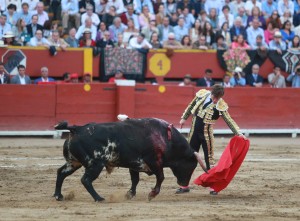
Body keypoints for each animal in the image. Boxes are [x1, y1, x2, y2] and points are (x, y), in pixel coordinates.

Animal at [53, 118, 206, 201]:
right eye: (192, 165)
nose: (183, 183)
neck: (166, 138)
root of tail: (77, 129)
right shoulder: (154, 162)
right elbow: (160, 177)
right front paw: (152, 194)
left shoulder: (134, 164)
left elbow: (135, 180)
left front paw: (129, 194)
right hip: (95, 164)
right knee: (85, 180)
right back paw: (99, 198)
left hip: (74, 162)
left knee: (61, 173)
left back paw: (58, 196)